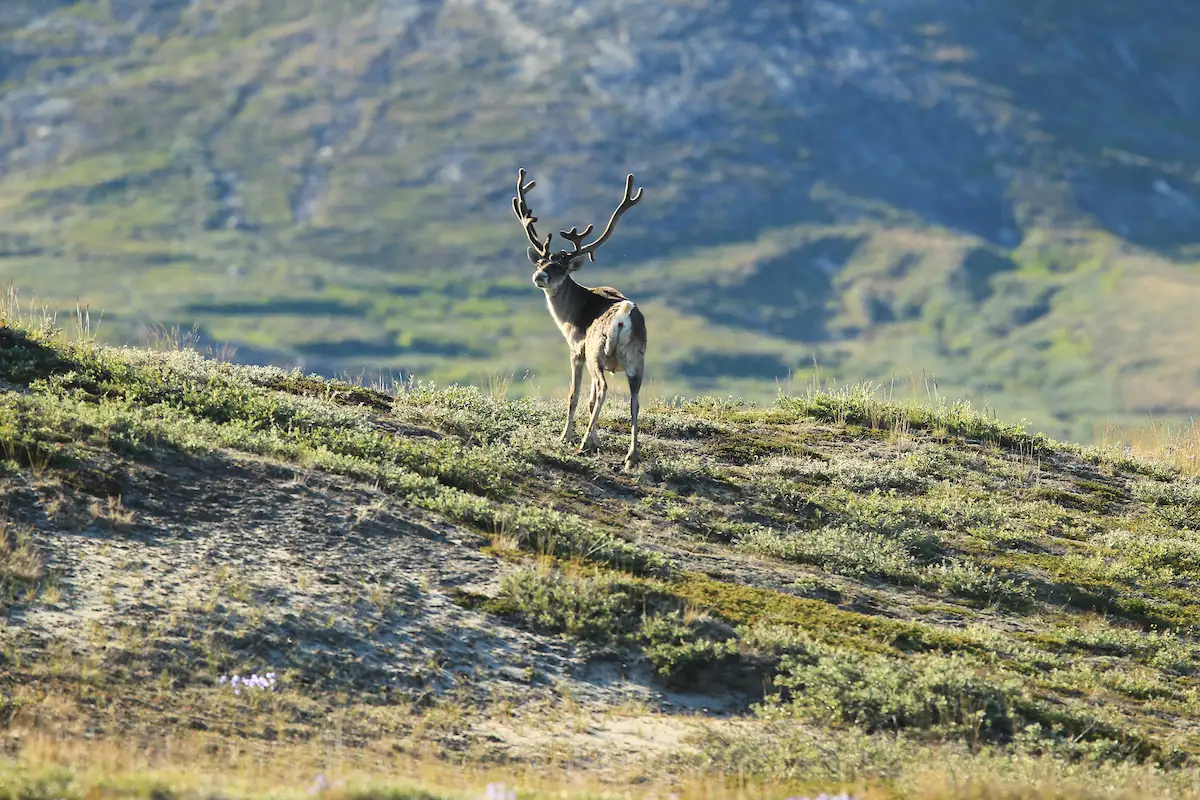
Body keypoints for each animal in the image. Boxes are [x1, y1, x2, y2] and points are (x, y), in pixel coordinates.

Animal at [511, 168, 648, 471]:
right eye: (541, 262)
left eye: (560, 268)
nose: (539, 276)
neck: (569, 316)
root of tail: (625, 316)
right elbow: (590, 399)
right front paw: (594, 438)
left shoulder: (576, 349)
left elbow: (575, 394)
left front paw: (568, 436)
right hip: (637, 358)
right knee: (634, 398)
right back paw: (631, 456)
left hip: (597, 353)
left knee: (603, 387)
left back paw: (584, 443)